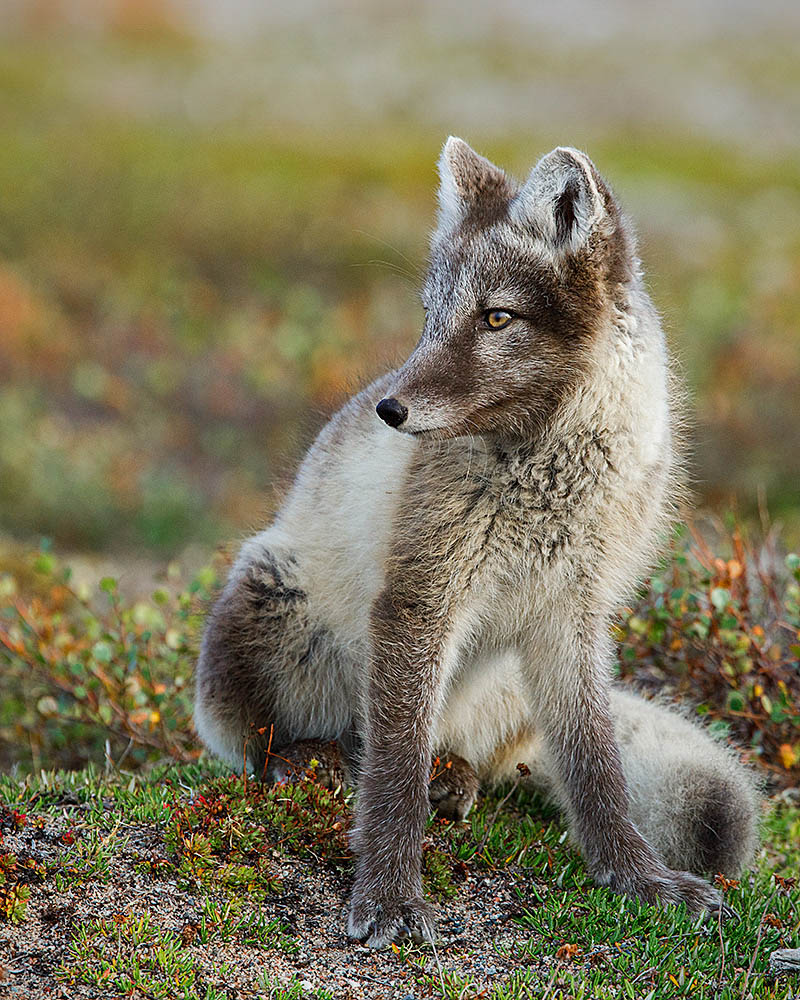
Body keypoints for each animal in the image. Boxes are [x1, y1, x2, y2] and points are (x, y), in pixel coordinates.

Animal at [197, 137, 760, 948]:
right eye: (430, 316)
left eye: (496, 317)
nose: (390, 410)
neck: (549, 475)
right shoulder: (421, 598)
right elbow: (392, 773)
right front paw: (390, 897)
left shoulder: (573, 616)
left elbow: (598, 772)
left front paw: (639, 880)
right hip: (268, 594)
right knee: (275, 742)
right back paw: (313, 761)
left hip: (507, 689)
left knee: (456, 753)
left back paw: (451, 775)